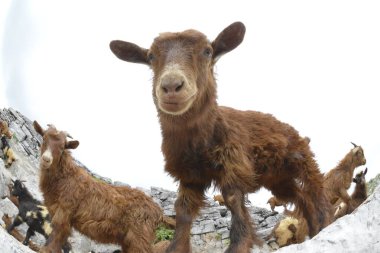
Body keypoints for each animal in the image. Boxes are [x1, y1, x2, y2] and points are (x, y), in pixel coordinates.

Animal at [33, 121, 167, 252]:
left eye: (62, 147)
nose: (46, 159)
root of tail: (159, 213)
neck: (65, 177)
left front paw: (46, 250)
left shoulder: (65, 210)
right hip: (128, 240)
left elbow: (58, 231)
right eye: (44, 138)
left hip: (139, 237)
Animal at [110, 21, 332, 253]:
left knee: (317, 188)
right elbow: (183, 210)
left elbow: (233, 201)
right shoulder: (189, 175)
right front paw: (177, 247)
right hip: (279, 177)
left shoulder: (233, 164)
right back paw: (314, 230)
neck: (199, 143)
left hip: (303, 159)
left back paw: (325, 223)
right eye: (151, 56)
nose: (171, 86)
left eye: (207, 51)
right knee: (301, 197)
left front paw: (240, 244)